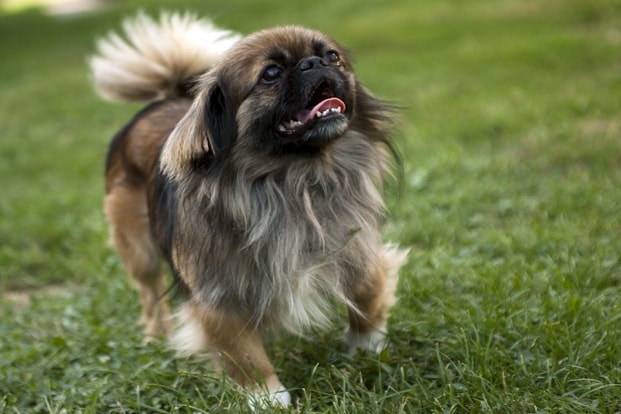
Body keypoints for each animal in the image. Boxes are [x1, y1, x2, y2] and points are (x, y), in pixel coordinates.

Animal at [88, 12, 406, 408]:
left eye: (332, 57)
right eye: (270, 73)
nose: (314, 63)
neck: (295, 181)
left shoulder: (355, 245)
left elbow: (368, 288)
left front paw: (366, 346)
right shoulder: (220, 294)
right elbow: (244, 353)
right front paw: (267, 396)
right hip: (139, 250)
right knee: (150, 296)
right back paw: (156, 338)